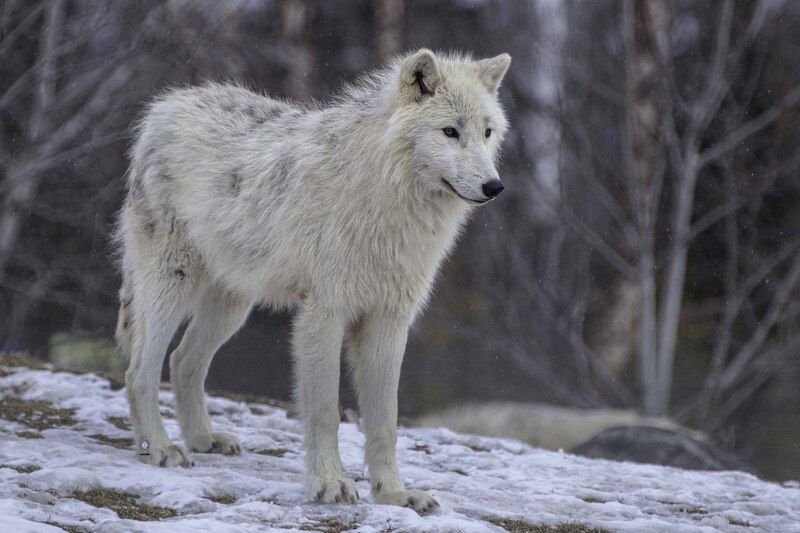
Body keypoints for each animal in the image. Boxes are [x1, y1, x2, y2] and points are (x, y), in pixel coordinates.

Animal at [114, 49, 510, 513]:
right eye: (450, 131)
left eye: (487, 132)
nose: (494, 186)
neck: (385, 202)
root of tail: (165, 105)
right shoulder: (323, 315)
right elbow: (325, 412)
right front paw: (329, 484)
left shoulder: (389, 322)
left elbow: (386, 421)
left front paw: (393, 493)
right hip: (171, 286)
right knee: (140, 369)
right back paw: (160, 448)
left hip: (232, 306)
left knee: (182, 360)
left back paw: (201, 439)